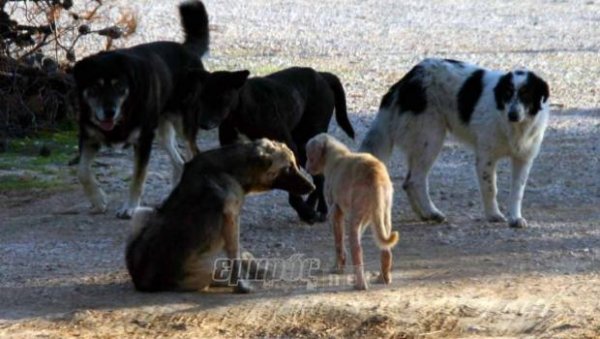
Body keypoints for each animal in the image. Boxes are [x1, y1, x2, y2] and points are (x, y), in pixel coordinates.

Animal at [72, 1, 218, 219]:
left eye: (118, 86)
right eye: (95, 87)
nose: (109, 112)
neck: (123, 112)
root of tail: (187, 49)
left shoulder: (143, 140)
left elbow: (138, 177)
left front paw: (130, 207)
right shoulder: (89, 136)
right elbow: (82, 171)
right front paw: (98, 201)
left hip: (183, 123)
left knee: (193, 154)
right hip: (162, 129)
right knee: (179, 162)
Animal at [125, 139, 316, 294]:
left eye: (295, 164)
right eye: (288, 168)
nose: (313, 187)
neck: (231, 169)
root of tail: (144, 282)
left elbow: (239, 253)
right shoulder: (231, 218)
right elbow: (235, 255)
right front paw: (242, 284)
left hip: (142, 213)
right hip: (208, 265)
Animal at [189, 67, 356, 224]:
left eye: (221, 97)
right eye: (201, 97)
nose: (202, 123)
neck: (241, 111)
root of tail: (322, 75)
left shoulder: (289, 149)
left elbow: (294, 189)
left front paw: (305, 212)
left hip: (306, 142)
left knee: (319, 177)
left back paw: (320, 210)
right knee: (317, 176)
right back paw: (311, 205)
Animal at [304, 134, 398, 290]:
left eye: (309, 156)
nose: (306, 168)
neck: (334, 154)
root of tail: (376, 176)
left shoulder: (335, 212)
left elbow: (338, 243)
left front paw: (337, 268)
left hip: (355, 219)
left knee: (357, 251)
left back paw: (360, 284)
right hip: (383, 215)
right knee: (386, 250)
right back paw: (383, 278)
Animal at [358, 58, 552, 228]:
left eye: (526, 94)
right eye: (507, 94)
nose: (513, 114)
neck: (514, 126)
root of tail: (408, 79)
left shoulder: (523, 159)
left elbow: (517, 192)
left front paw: (515, 218)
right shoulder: (486, 158)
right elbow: (490, 188)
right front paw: (493, 215)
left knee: (408, 182)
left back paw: (424, 214)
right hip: (431, 138)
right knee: (415, 180)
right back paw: (432, 212)